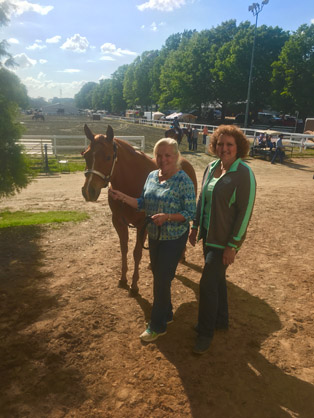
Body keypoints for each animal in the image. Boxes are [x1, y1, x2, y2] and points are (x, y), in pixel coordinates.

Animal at [82, 125, 197, 296]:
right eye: (85, 155)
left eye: (108, 157)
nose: (88, 191)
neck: (131, 182)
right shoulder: (119, 222)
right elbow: (124, 249)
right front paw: (123, 279)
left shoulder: (142, 224)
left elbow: (137, 253)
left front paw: (134, 285)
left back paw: (181, 257)